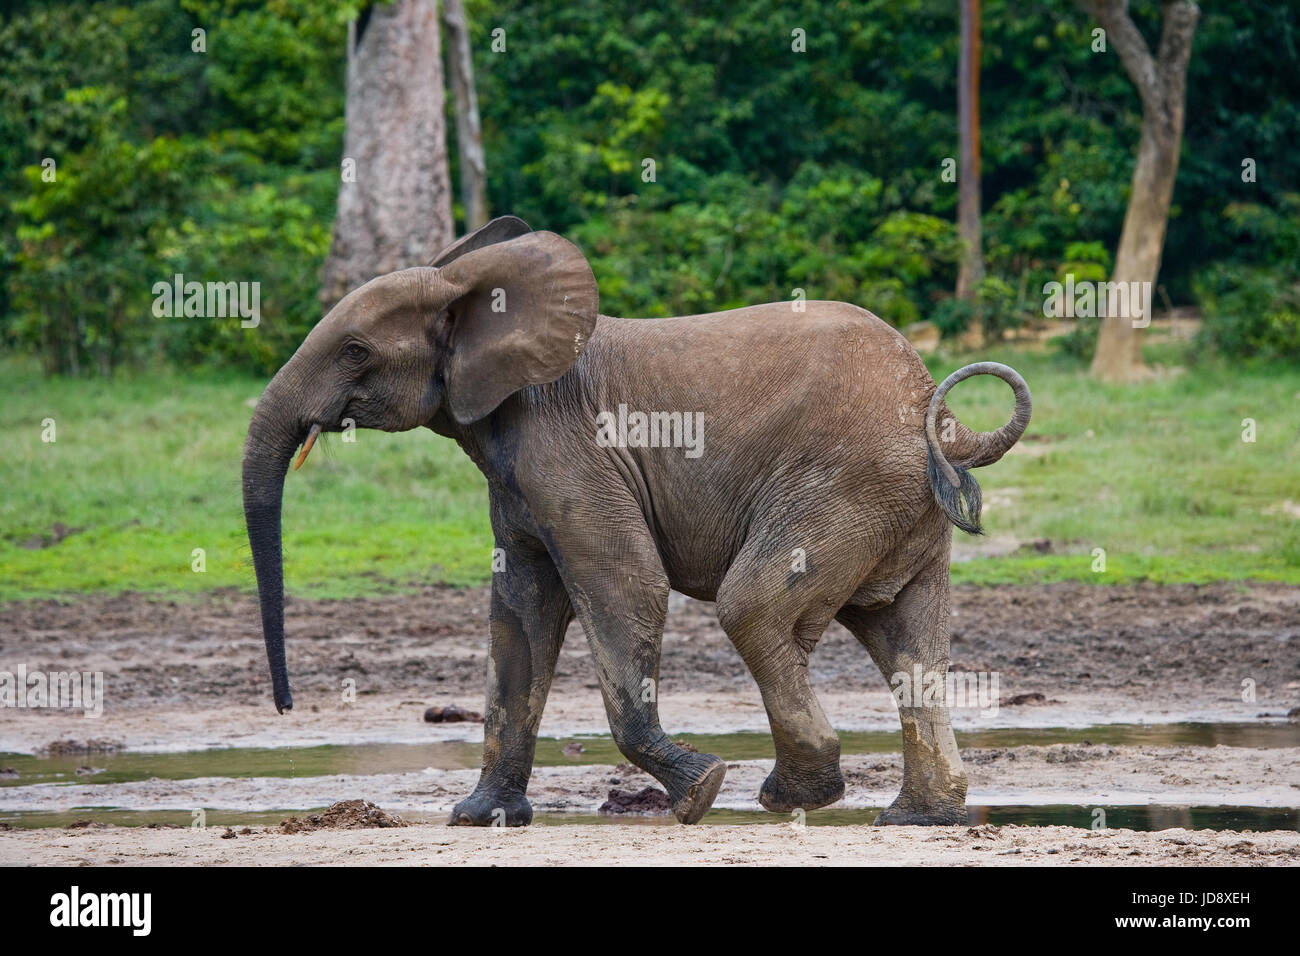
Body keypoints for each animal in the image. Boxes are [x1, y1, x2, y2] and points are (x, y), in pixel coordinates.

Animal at [244, 213, 1029, 827]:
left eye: (355, 351)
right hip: (894, 505)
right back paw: (918, 815)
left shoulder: (571, 454)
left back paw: (793, 796)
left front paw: (700, 791)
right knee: (907, 636)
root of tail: (941, 414)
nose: (283, 707)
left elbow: (625, 587)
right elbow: (519, 612)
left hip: (844, 484)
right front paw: (480, 818)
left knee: (753, 608)